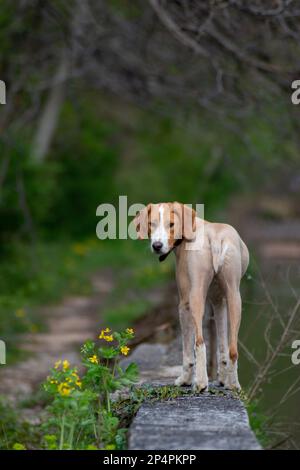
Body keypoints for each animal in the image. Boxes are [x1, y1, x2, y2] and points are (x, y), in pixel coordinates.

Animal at [135, 204, 250, 392]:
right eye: (152, 223)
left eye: (171, 224)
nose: (157, 246)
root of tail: (214, 238)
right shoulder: (219, 302)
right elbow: (222, 346)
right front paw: (223, 379)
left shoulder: (184, 304)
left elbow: (188, 351)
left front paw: (185, 380)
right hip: (235, 297)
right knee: (232, 349)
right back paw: (233, 384)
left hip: (195, 298)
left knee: (199, 343)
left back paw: (200, 383)